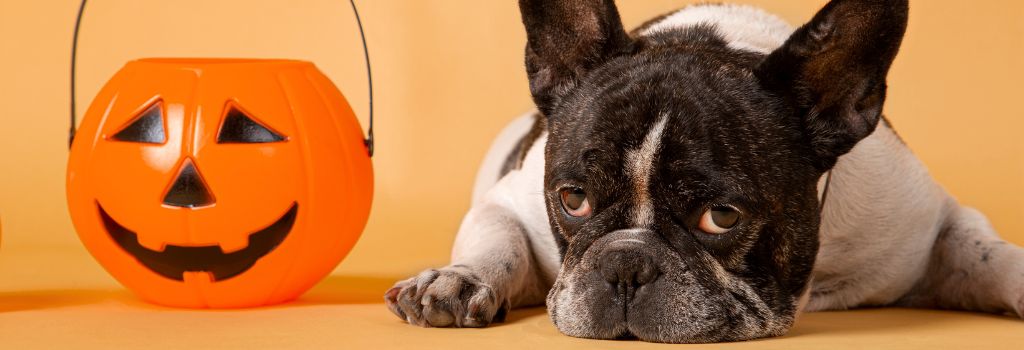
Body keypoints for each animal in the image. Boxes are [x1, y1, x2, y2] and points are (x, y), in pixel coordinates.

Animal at [385, 0, 1024, 343]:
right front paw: (459, 278)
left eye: (721, 217)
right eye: (573, 200)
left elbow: (984, 252)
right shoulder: (508, 201)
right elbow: (498, 236)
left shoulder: (928, 223)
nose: (626, 264)